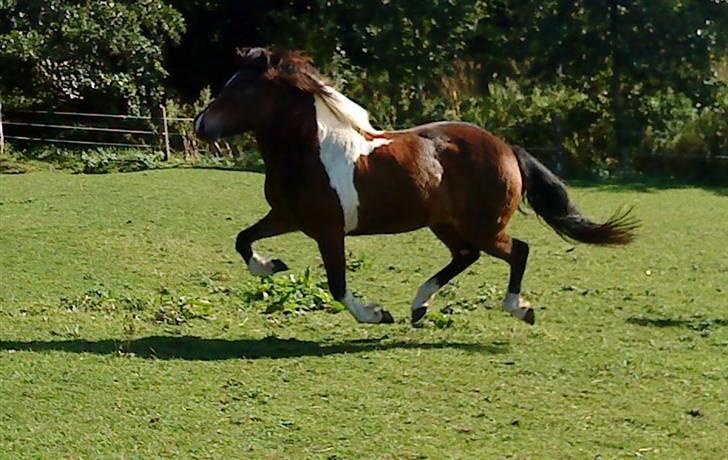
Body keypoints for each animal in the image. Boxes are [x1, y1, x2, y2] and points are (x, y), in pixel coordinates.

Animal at [194, 47, 638, 325]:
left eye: (242, 88)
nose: (200, 125)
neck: (309, 153)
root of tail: (507, 149)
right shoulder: (286, 216)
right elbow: (243, 240)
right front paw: (270, 266)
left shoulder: (328, 230)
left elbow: (337, 285)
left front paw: (375, 314)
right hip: (446, 224)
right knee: (466, 256)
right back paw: (420, 305)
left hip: (484, 226)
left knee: (517, 251)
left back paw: (517, 308)